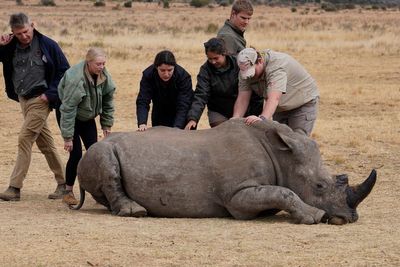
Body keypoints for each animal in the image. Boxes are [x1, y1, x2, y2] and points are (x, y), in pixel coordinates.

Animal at [74, 118, 376, 225]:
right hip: (99, 149)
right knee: (105, 160)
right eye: (319, 187)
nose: (350, 218)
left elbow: (280, 192)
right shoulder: (236, 197)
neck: (282, 156)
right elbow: (284, 193)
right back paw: (135, 212)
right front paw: (314, 216)